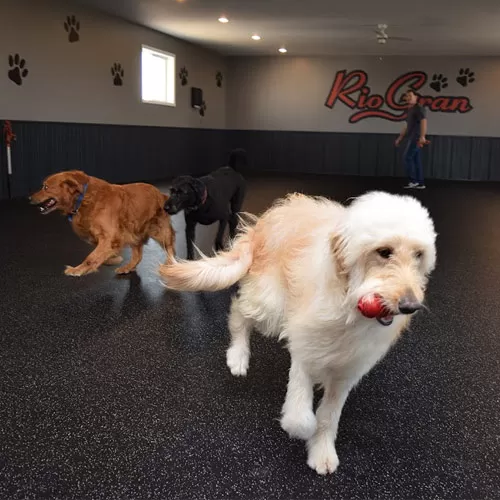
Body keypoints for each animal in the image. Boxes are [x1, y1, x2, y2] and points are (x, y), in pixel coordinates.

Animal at [158, 191, 436, 476]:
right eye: (384, 252)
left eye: (418, 255)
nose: (410, 306)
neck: (348, 305)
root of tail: (265, 221)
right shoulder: (305, 348)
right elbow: (300, 416)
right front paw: (303, 429)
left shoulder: (348, 372)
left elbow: (329, 416)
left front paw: (322, 450)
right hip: (270, 302)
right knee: (238, 312)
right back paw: (238, 355)